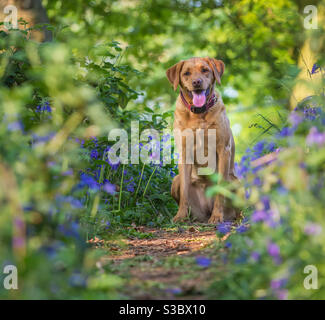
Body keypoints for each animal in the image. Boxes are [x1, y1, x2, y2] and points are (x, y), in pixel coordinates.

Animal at [166, 56, 237, 224]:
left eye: (205, 70)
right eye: (186, 73)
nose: (197, 82)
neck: (198, 113)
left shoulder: (223, 150)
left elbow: (220, 189)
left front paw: (217, 216)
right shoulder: (184, 153)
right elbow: (184, 191)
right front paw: (180, 215)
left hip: (236, 181)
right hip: (175, 181)